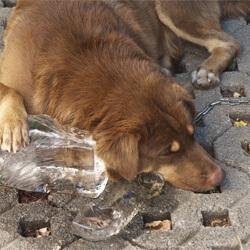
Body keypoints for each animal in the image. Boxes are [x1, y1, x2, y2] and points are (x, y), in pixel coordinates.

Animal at [1, 0, 246, 192]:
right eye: (167, 152)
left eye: (192, 134)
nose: (220, 176)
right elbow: (10, 91)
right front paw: (13, 127)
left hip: (174, 12)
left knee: (229, 42)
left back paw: (208, 70)